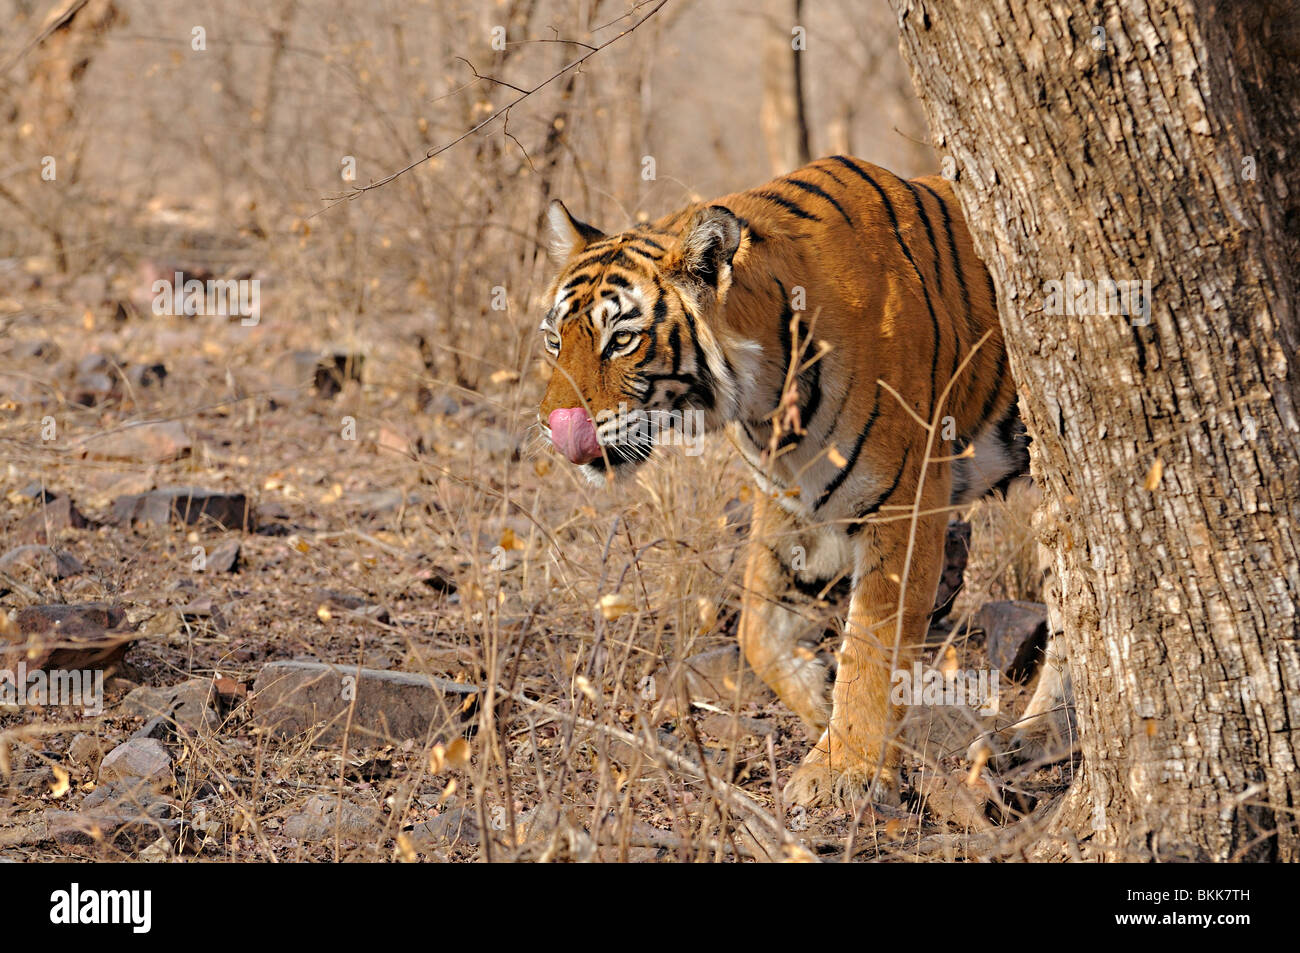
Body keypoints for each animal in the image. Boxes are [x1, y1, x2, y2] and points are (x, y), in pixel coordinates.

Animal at [533, 154, 1029, 800]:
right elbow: (756, 626)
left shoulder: (904, 501)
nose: (554, 427)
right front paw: (817, 698)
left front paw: (844, 771)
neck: (765, 401)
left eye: (621, 340)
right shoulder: (791, 498)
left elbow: (873, 643)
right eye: (553, 340)